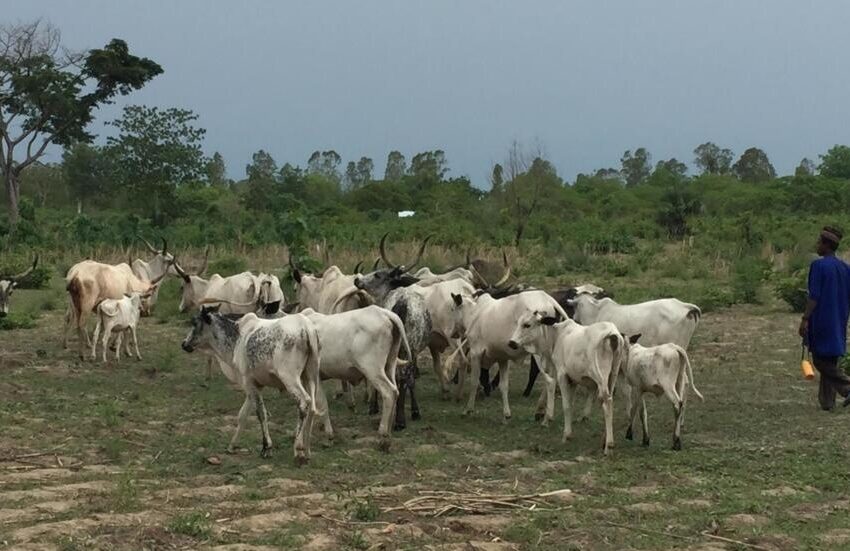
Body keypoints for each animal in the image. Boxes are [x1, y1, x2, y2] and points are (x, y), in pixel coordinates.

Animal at [179, 306, 322, 466]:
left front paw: (266, 447)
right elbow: (242, 414)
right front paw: (232, 445)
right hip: (311, 376)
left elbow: (261, 413)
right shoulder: (253, 385)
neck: (237, 338)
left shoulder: (249, 382)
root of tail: (306, 326)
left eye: (195, 323)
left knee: (304, 402)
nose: (184, 344)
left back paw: (298, 449)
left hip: (290, 378)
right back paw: (307, 450)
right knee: (312, 407)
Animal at [504, 310, 624, 458]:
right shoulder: (573, 380)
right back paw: (604, 440)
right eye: (518, 322)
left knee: (606, 403)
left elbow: (566, 405)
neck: (557, 336)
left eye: (527, 324)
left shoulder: (562, 375)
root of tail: (612, 332)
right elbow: (570, 403)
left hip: (600, 376)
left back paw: (609, 446)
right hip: (613, 375)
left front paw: (566, 435)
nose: (512, 342)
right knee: (610, 403)